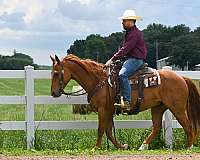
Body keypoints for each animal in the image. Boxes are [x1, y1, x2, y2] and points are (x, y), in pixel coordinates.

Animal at [50, 54, 200, 150]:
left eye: (57, 73)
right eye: (52, 73)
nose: (53, 93)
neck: (99, 81)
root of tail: (181, 77)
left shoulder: (103, 110)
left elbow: (101, 130)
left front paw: (96, 148)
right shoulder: (109, 111)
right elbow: (109, 132)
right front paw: (122, 146)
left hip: (177, 108)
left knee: (188, 126)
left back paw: (189, 147)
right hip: (158, 107)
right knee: (157, 127)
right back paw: (143, 146)